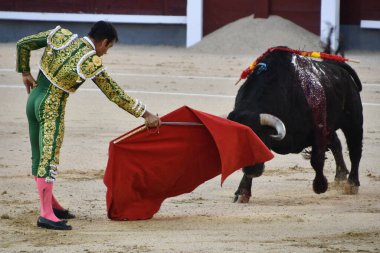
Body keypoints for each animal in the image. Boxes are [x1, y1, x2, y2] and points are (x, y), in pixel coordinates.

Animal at [227, 46, 364, 203]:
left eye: (262, 141)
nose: (252, 171)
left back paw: (352, 184)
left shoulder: (318, 129)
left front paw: (320, 186)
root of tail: (340, 68)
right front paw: (242, 192)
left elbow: (316, 159)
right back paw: (340, 176)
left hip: (353, 121)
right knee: (336, 143)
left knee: (355, 151)